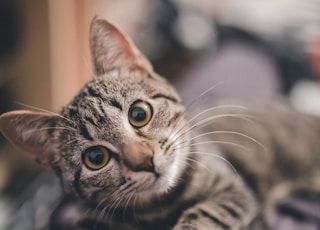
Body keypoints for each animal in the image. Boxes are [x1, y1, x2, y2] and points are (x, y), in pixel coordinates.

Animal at [0, 18, 320, 230]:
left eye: (139, 114)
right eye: (95, 157)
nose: (144, 160)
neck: (160, 207)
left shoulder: (235, 190)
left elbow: (207, 214)